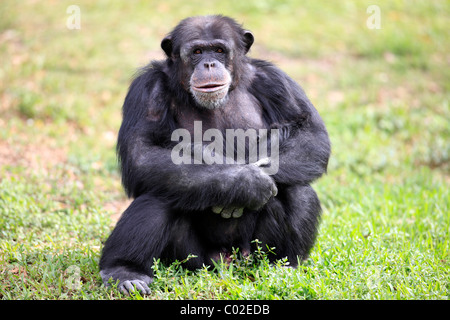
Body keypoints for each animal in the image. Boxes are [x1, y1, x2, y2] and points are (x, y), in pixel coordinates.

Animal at [99, 15, 330, 296]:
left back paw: (286, 266)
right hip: (193, 261)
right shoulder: (147, 88)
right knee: (159, 194)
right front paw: (245, 182)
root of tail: (227, 260)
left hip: (253, 254)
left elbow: (311, 134)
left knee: (297, 189)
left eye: (219, 50)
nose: (209, 63)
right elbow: (143, 152)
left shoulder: (276, 81)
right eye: (197, 52)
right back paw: (124, 270)